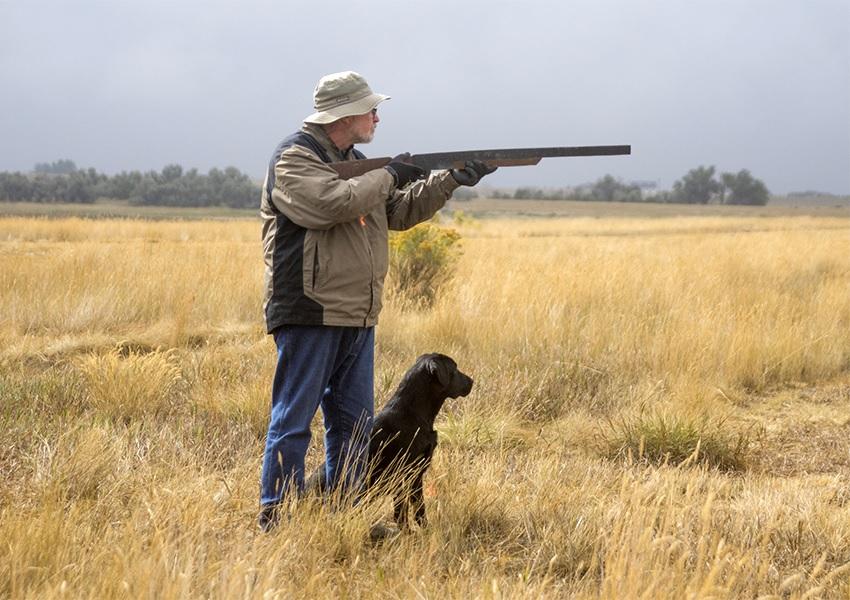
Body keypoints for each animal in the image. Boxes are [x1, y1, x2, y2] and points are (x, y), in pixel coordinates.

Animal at [310, 354, 470, 528]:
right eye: (455, 368)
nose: (471, 381)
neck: (413, 412)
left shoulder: (416, 474)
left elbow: (419, 506)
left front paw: (424, 528)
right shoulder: (403, 473)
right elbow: (402, 509)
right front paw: (406, 530)